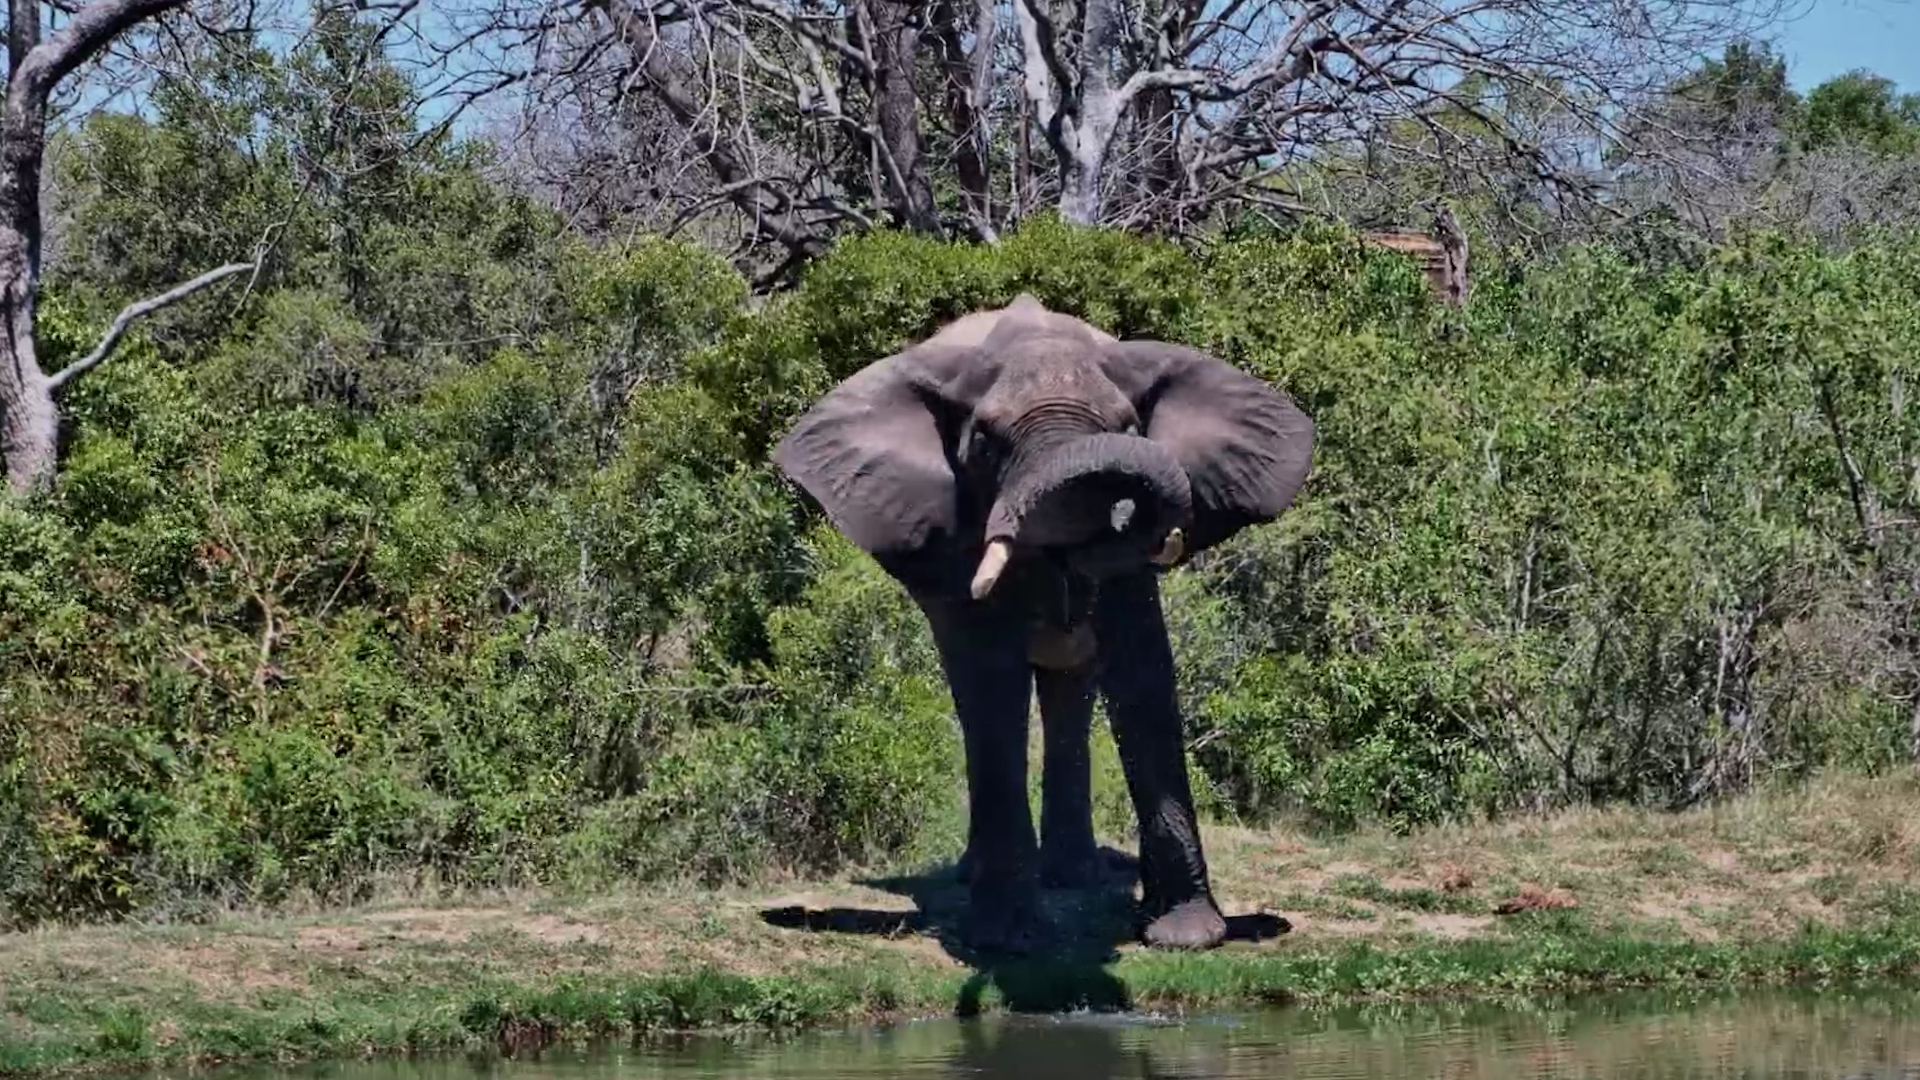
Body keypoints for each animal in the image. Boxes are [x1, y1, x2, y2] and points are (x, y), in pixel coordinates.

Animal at [771, 294, 1314, 953]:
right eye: (985, 442)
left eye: (1128, 426)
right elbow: (992, 678)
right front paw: (1007, 940)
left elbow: (1142, 670)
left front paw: (1185, 936)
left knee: (1069, 689)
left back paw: (1073, 876)